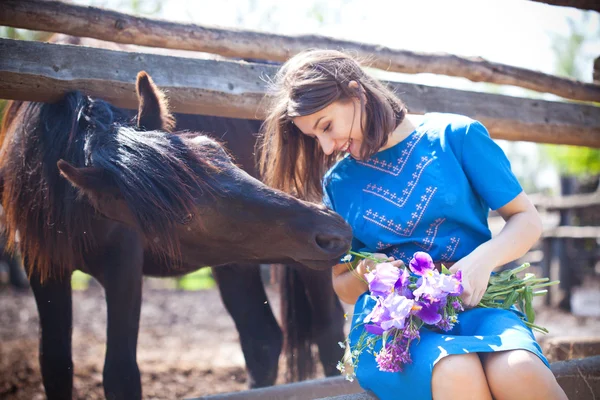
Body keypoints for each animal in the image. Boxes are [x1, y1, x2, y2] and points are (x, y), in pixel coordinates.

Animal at [0, 69, 352, 400]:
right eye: (183, 216)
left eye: (218, 152)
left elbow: (120, 375)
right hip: (237, 262)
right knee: (262, 340)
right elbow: (56, 366)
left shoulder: (123, 268)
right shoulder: (44, 269)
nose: (332, 229)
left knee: (327, 333)